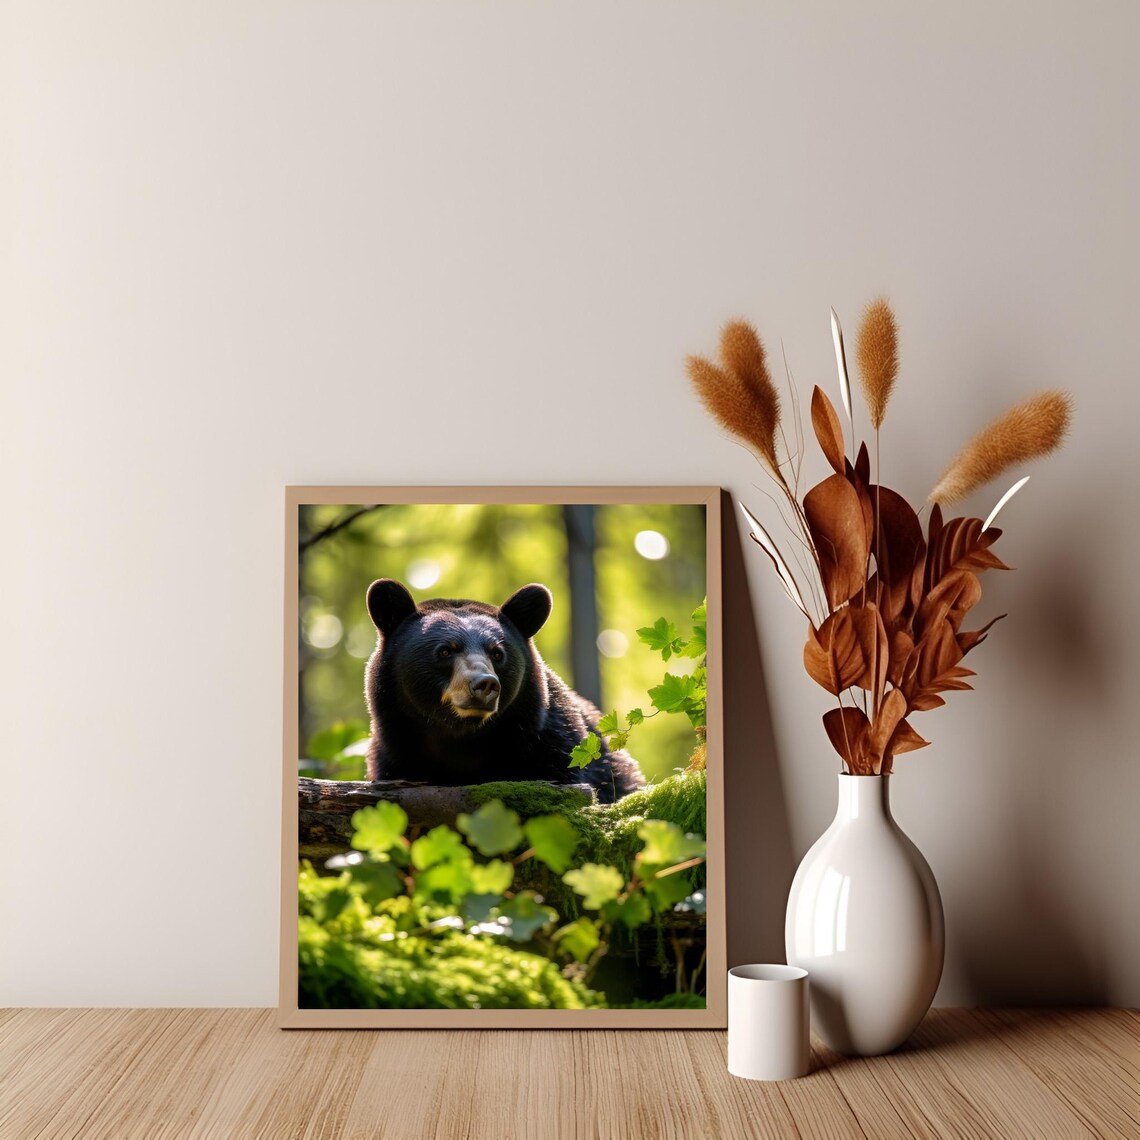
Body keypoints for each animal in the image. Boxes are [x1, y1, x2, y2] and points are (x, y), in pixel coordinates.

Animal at [363, 578, 645, 803]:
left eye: (497, 653)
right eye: (445, 651)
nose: (484, 683)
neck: (461, 740)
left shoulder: (557, 747)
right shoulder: (394, 756)